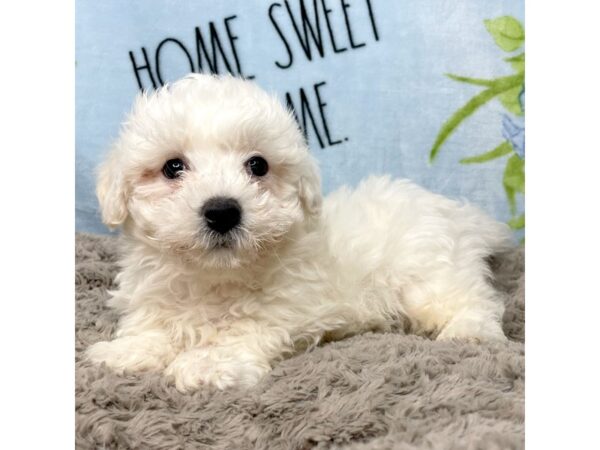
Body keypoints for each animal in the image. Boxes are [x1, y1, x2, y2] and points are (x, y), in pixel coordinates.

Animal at [86, 74, 512, 390]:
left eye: (258, 165)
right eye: (172, 167)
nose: (223, 211)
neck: (214, 277)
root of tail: (456, 213)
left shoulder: (286, 306)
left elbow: (244, 330)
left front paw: (209, 363)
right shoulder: (155, 297)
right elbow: (153, 327)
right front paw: (126, 352)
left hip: (429, 273)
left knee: (473, 301)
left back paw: (468, 332)